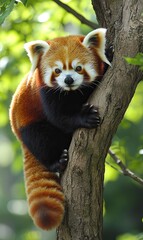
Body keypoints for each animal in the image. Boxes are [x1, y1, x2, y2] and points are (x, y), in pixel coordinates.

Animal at [9, 28, 110, 231]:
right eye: (57, 70)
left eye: (78, 68)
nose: (68, 79)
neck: (73, 92)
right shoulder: (45, 90)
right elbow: (60, 117)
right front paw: (84, 118)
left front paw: (109, 53)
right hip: (28, 125)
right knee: (41, 139)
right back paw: (56, 161)